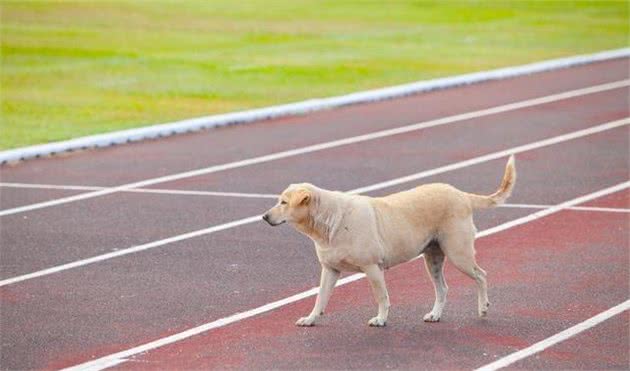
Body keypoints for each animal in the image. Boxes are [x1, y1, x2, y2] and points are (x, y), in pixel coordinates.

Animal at [264, 155, 516, 326]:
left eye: (284, 202)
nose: (264, 217)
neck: (329, 220)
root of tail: (461, 194)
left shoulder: (372, 268)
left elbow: (382, 296)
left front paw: (381, 319)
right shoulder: (330, 269)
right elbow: (320, 298)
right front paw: (311, 319)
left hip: (458, 253)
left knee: (481, 275)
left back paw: (483, 309)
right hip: (433, 258)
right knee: (443, 288)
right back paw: (435, 315)